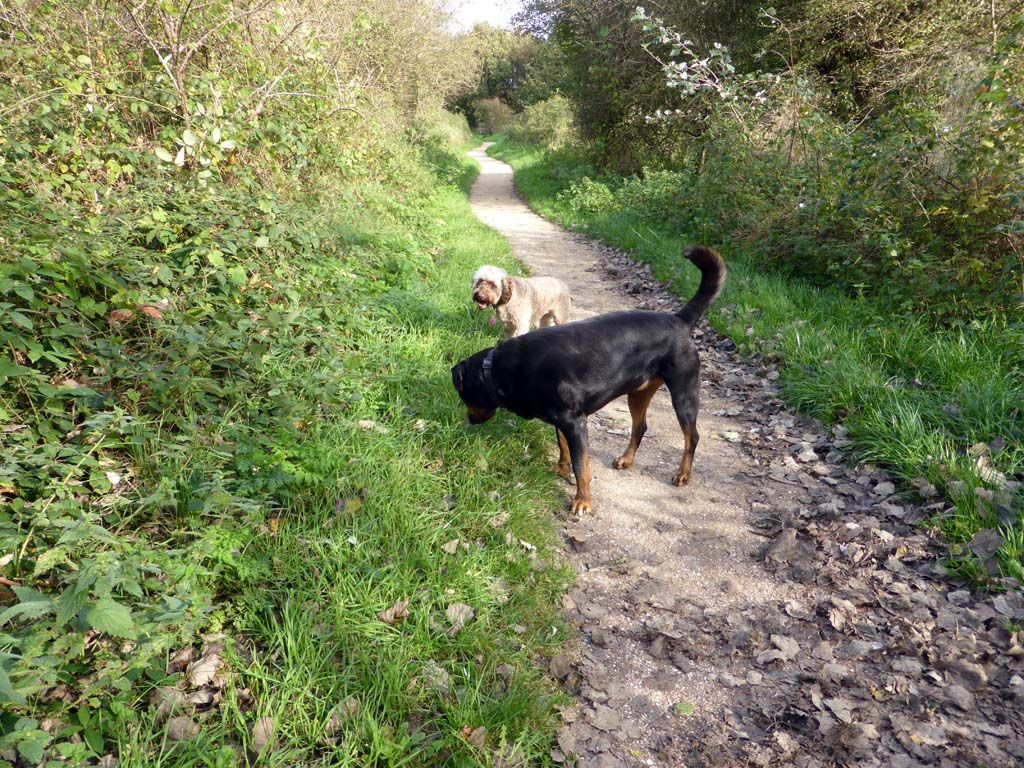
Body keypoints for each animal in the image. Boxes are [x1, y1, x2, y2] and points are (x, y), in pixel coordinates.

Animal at [452, 246, 726, 513]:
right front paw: (561, 468)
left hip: (684, 391)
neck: (498, 369)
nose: (469, 420)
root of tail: (679, 319)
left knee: (692, 436)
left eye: (464, 396)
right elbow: (562, 446)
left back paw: (683, 474)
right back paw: (626, 459)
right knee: (640, 427)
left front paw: (583, 501)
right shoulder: (561, 419)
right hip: (638, 392)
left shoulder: (575, 422)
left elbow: (580, 465)